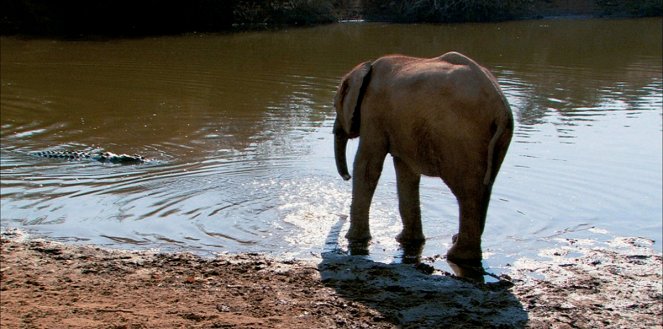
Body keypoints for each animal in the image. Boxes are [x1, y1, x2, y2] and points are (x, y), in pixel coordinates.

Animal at [334, 51, 516, 264]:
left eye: (336, 106)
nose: (346, 178)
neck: (365, 67)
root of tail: (501, 107)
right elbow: (406, 172)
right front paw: (405, 240)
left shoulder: (373, 110)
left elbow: (367, 166)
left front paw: (354, 239)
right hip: (497, 139)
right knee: (486, 187)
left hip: (462, 136)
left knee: (469, 193)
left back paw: (456, 256)